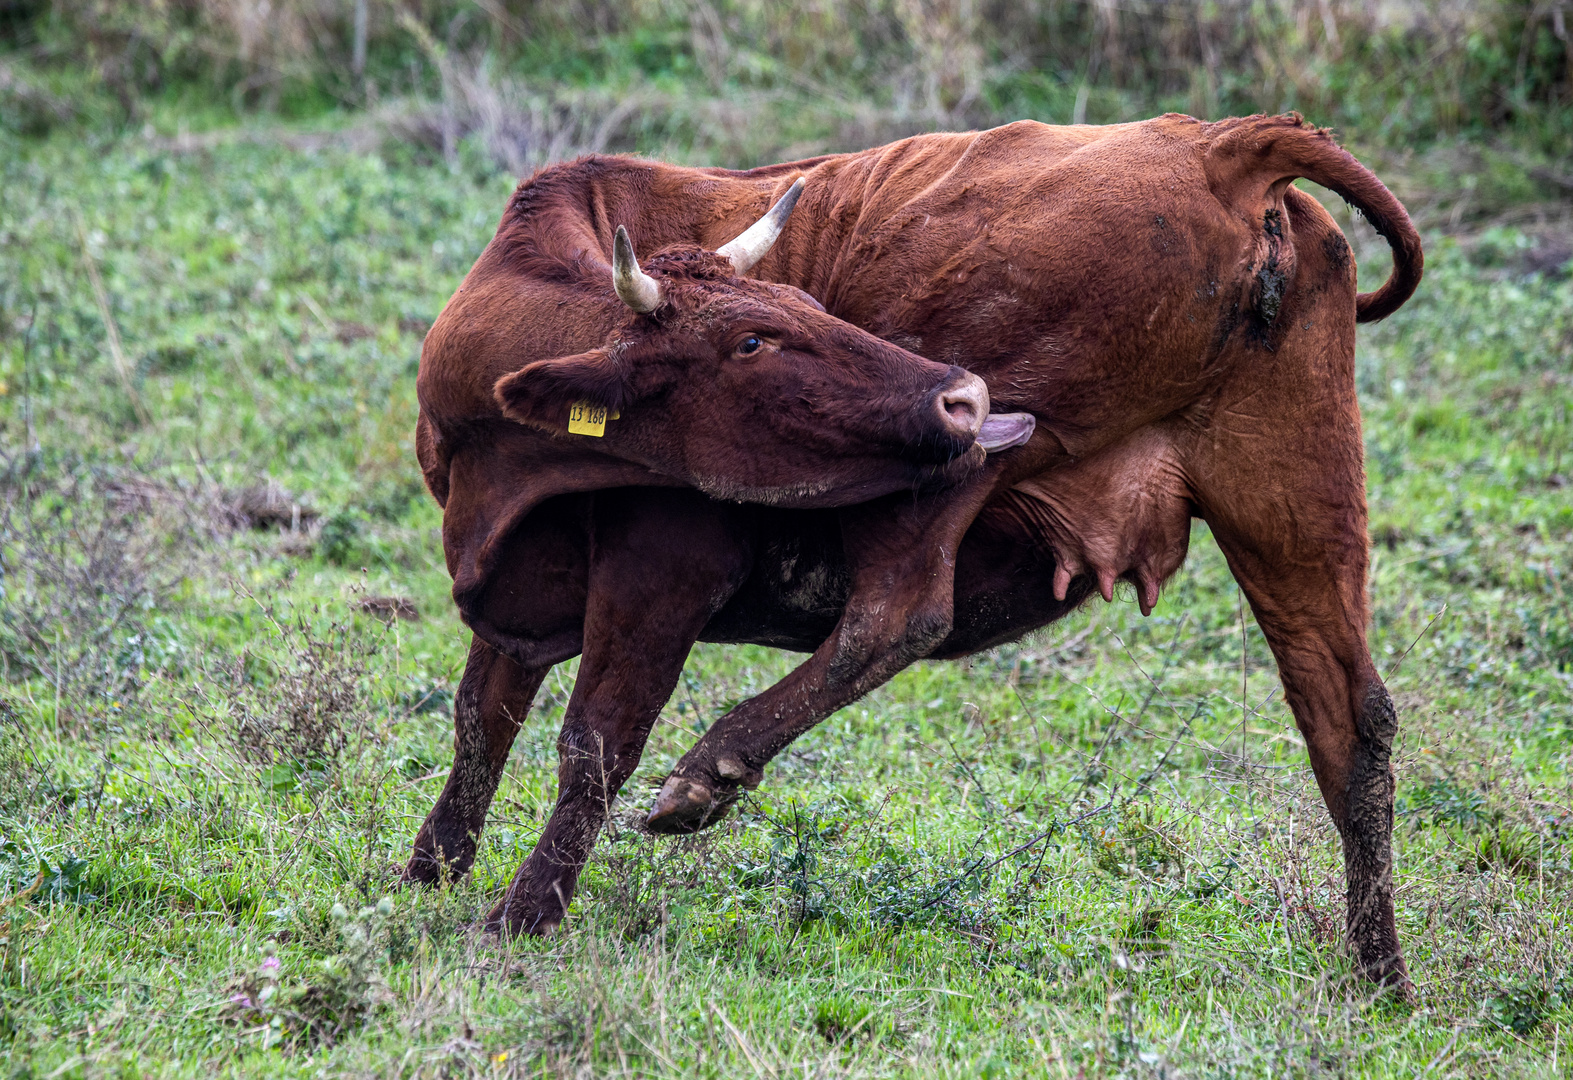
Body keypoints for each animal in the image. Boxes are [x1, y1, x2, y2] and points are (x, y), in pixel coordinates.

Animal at [408, 113, 1428, 993]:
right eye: (752, 336)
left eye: (802, 303)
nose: (961, 395)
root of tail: (1224, 146)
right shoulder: (513, 581)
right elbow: (481, 719)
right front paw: (429, 873)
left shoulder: (664, 570)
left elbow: (594, 743)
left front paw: (521, 916)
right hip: (1294, 504)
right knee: (1348, 718)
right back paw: (1379, 973)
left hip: (969, 451)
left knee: (899, 612)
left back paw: (710, 769)